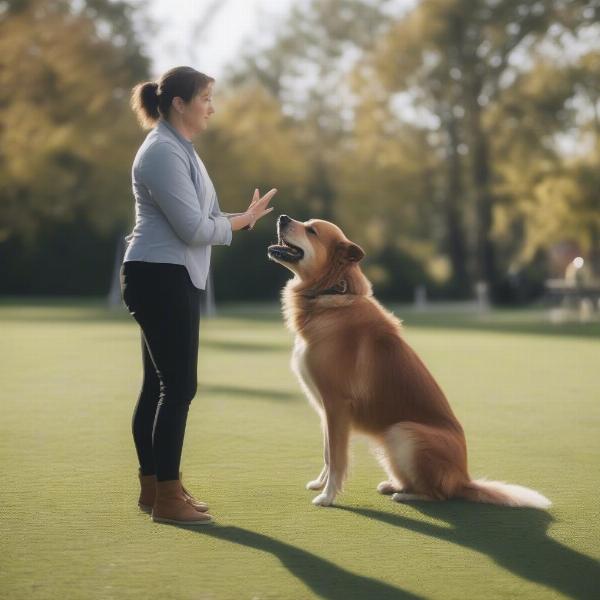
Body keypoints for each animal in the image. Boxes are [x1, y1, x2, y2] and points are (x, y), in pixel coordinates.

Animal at [270, 213, 552, 508]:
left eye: (311, 230)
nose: (282, 217)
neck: (330, 294)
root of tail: (463, 478)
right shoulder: (327, 411)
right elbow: (327, 453)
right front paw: (320, 484)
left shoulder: (337, 405)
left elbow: (336, 458)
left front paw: (327, 496)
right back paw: (393, 484)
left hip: (403, 432)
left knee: (439, 495)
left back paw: (405, 494)